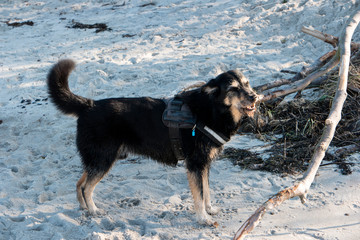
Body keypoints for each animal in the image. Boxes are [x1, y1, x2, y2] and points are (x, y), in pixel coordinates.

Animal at [47, 58, 258, 225]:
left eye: (247, 84)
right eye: (233, 88)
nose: (254, 96)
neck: (212, 108)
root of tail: (89, 105)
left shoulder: (204, 165)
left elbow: (206, 192)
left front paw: (210, 210)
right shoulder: (195, 166)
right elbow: (199, 196)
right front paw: (203, 218)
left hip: (97, 160)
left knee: (79, 183)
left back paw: (84, 208)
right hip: (103, 160)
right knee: (86, 187)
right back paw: (93, 210)